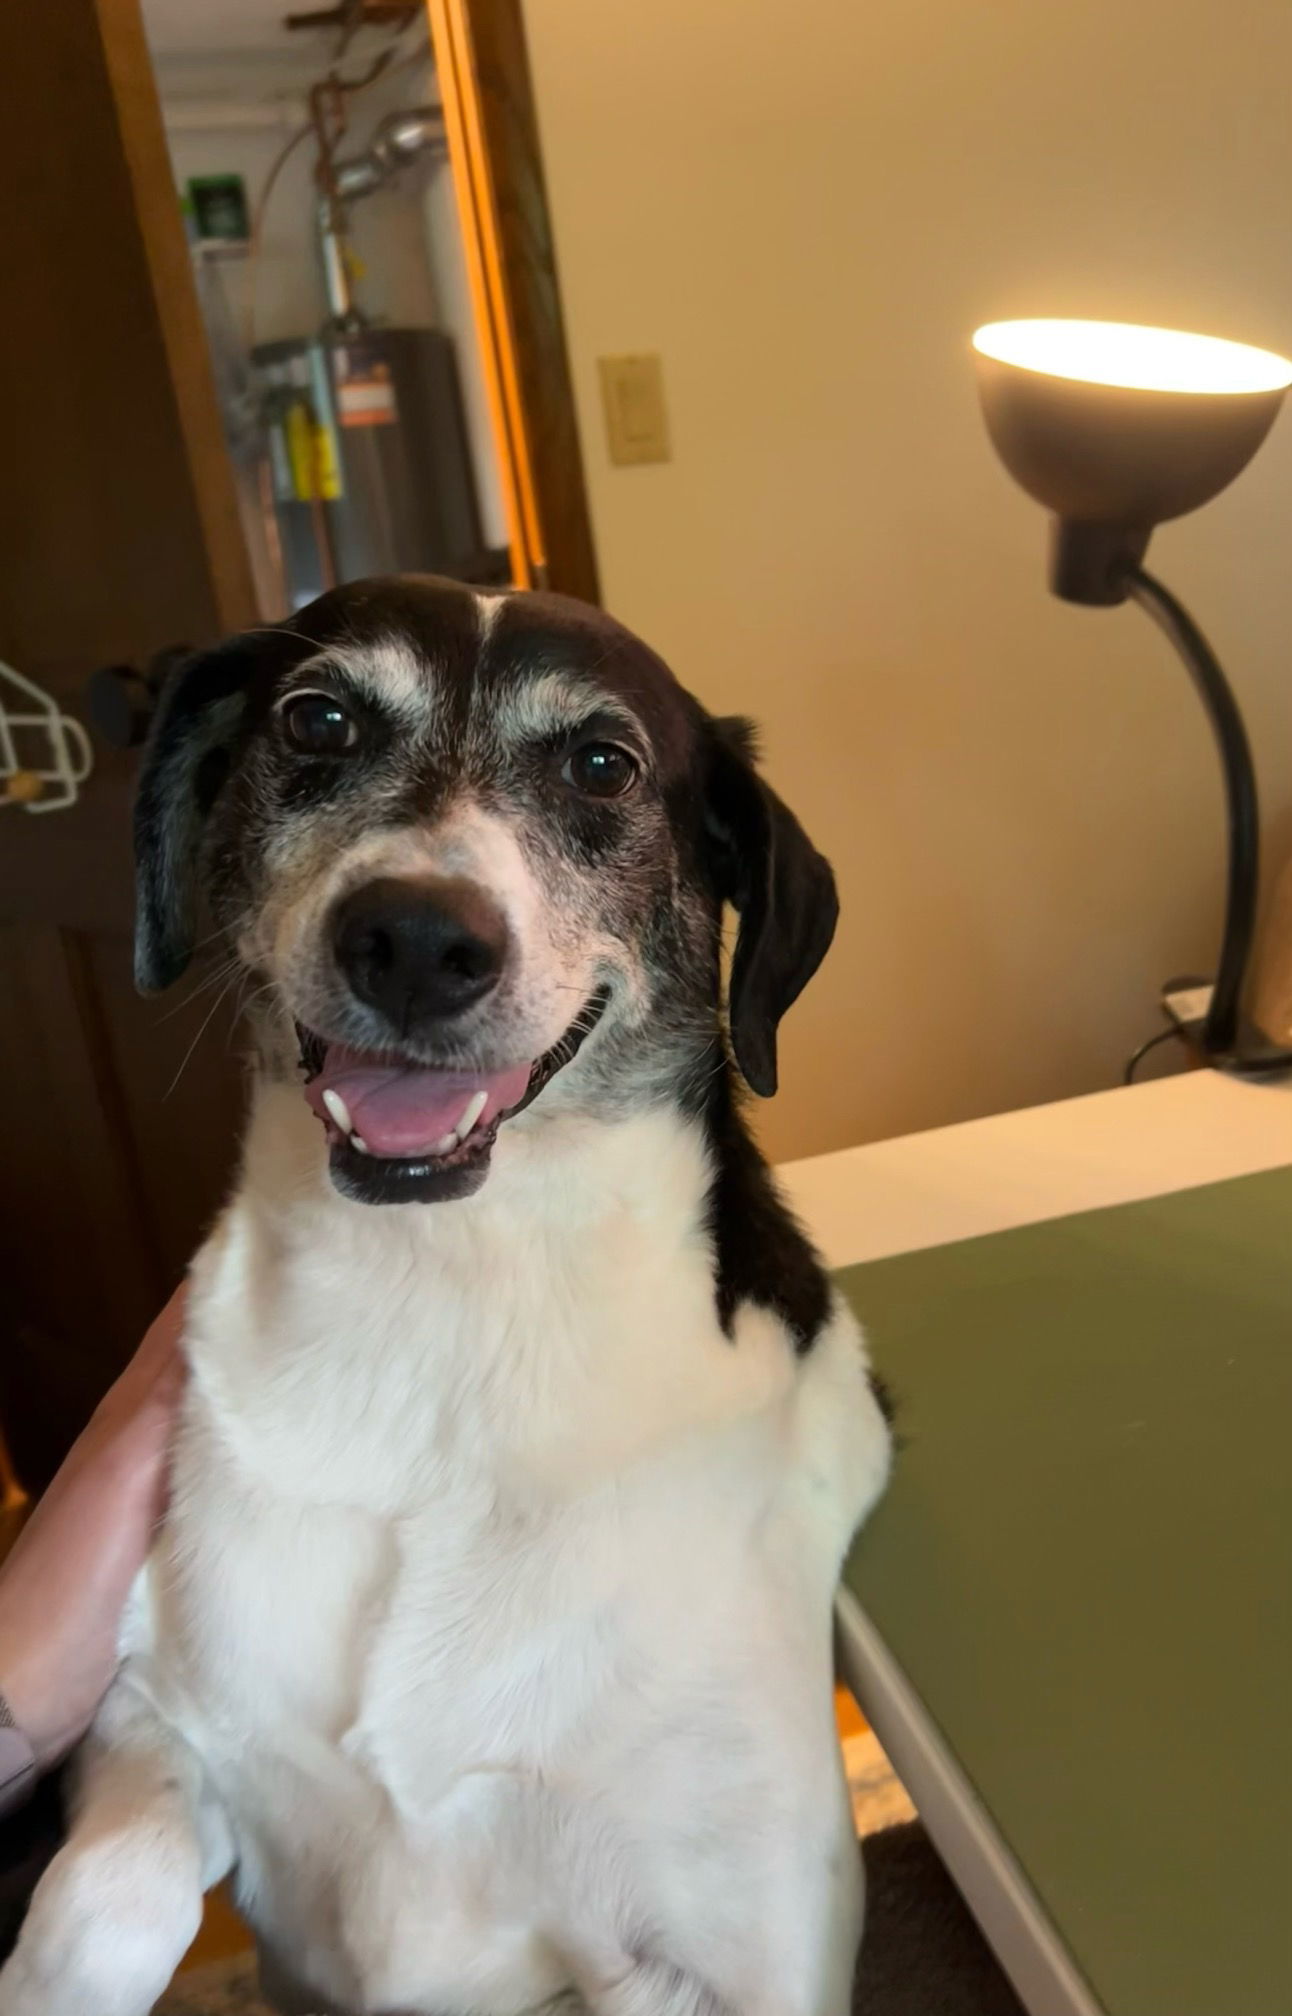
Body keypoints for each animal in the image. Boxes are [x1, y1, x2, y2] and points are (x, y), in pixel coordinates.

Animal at [0, 576, 886, 2007]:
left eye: (600, 763)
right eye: (317, 720)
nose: (415, 939)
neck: (454, 1300)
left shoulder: (736, 1940)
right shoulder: (147, 1714)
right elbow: (110, 1890)